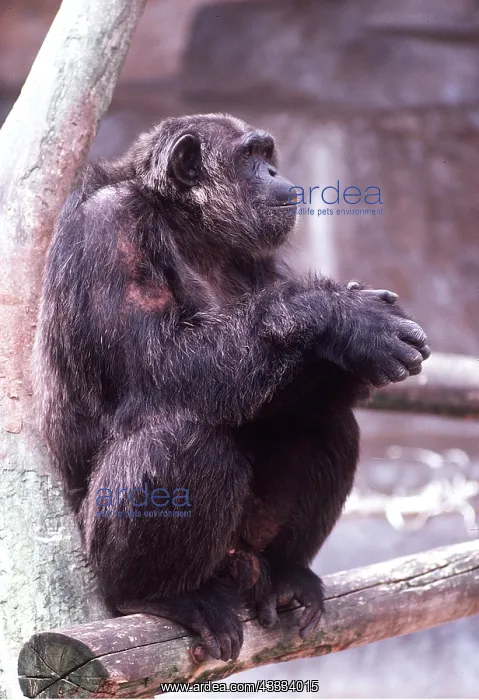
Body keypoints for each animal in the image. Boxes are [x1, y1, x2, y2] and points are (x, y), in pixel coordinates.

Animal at [34, 113, 430, 662]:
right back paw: (168, 594)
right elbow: (158, 366)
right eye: (250, 156)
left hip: (252, 544)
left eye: (267, 154)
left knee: (325, 424)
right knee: (182, 440)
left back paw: (286, 575)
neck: (189, 226)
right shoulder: (108, 232)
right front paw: (348, 316)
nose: (273, 171)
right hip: (109, 561)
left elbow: (278, 391)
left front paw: (355, 337)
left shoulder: (259, 261)